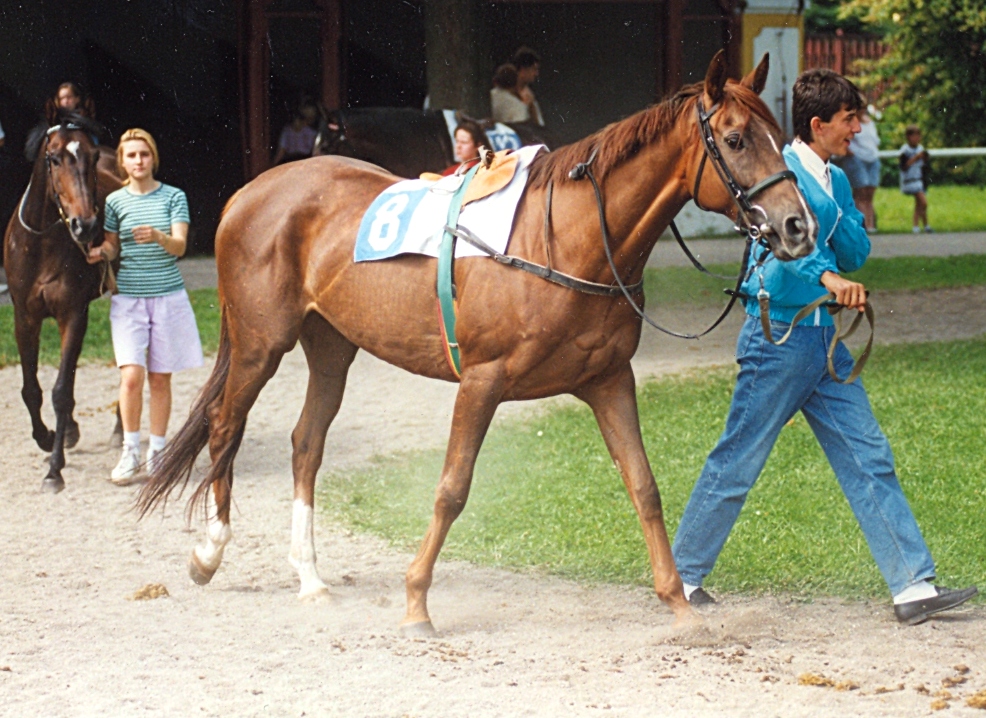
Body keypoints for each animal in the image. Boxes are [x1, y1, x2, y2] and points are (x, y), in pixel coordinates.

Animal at [3, 112, 121, 496]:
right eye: (53, 158)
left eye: (92, 158)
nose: (86, 225)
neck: (42, 244)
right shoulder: (25, 317)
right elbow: (32, 389)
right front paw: (48, 437)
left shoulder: (72, 314)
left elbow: (60, 392)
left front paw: (54, 470)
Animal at [138, 53, 816, 632]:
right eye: (735, 139)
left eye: (780, 136)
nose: (797, 225)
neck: (564, 241)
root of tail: (249, 193)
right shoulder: (482, 381)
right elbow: (451, 489)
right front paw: (416, 601)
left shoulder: (609, 380)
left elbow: (644, 487)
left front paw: (677, 603)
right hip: (262, 342)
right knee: (225, 426)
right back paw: (208, 552)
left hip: (330, 345)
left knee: (306, 445)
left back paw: (309, 576)